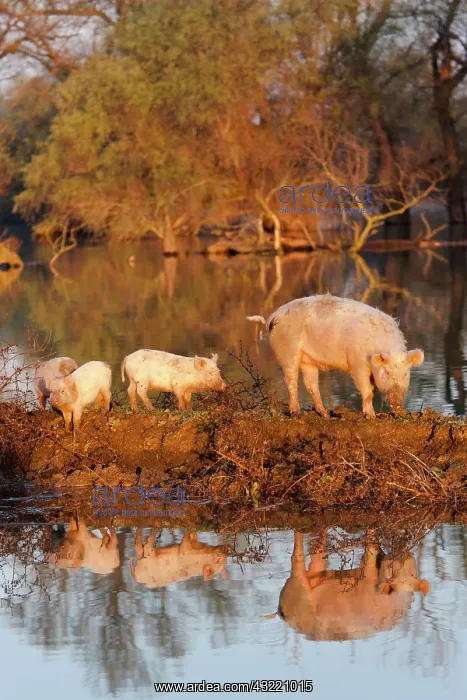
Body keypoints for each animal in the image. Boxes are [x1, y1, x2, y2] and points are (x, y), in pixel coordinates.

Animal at [247, 294, 424, 418]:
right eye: (387, 373)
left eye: (406, 373)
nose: (398, 403)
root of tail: (273, 317)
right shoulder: (357, 363)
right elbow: (367, 391)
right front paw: (371, 416)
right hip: (288, 350)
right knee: (291, 381)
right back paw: (296, 413)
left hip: (307, 359)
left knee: (311, 384)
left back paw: (325, 414)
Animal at [264, 531, 430, 641]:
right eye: (392, 574)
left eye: (412, 574)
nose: (403, 555)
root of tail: (281, 613)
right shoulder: (367, 581)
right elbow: (370, 552)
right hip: (297, 593)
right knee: (296, 559)